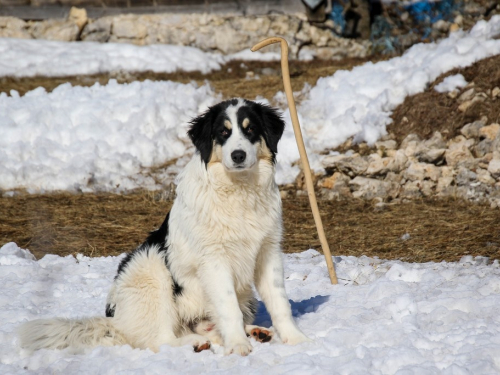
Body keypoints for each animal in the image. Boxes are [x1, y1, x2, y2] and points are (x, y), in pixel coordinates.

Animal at [18, 99, 308, 356]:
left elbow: (279, 302)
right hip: (150, 267)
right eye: (223, 133)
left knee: (206, 327)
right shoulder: (214, 260)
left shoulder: (268, 252)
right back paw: (198, 343)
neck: (239, 190)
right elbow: (228, 307)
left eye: (251, 129)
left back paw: (255, 331)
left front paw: (296, 339)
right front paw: (238, 346)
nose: (238, 155)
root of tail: (116, 321)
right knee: (159, 339)